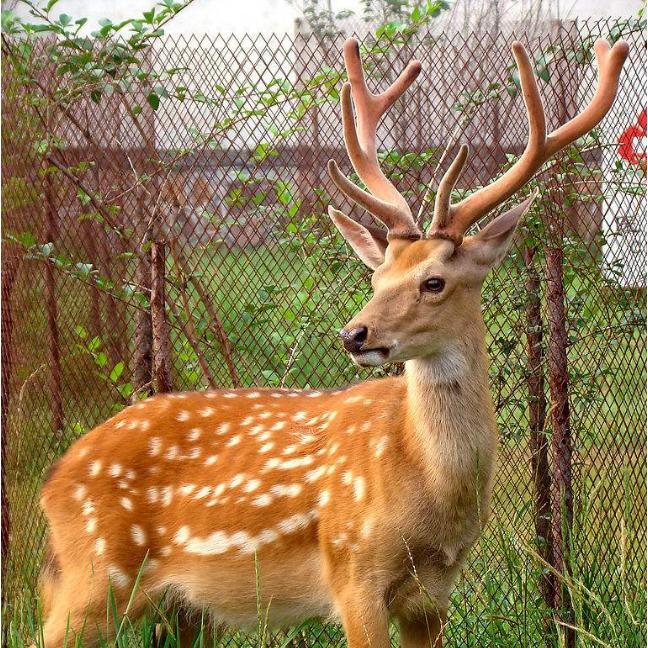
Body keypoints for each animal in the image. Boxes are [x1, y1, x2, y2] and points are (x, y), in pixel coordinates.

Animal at [38, 36, 628, 648]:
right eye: (377, 277)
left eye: (433, 281)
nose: (354, 334)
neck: (430, 490)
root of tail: (52, 483)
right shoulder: (352, 569)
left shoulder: (434, 595)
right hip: (93, 577)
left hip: (181, 608)